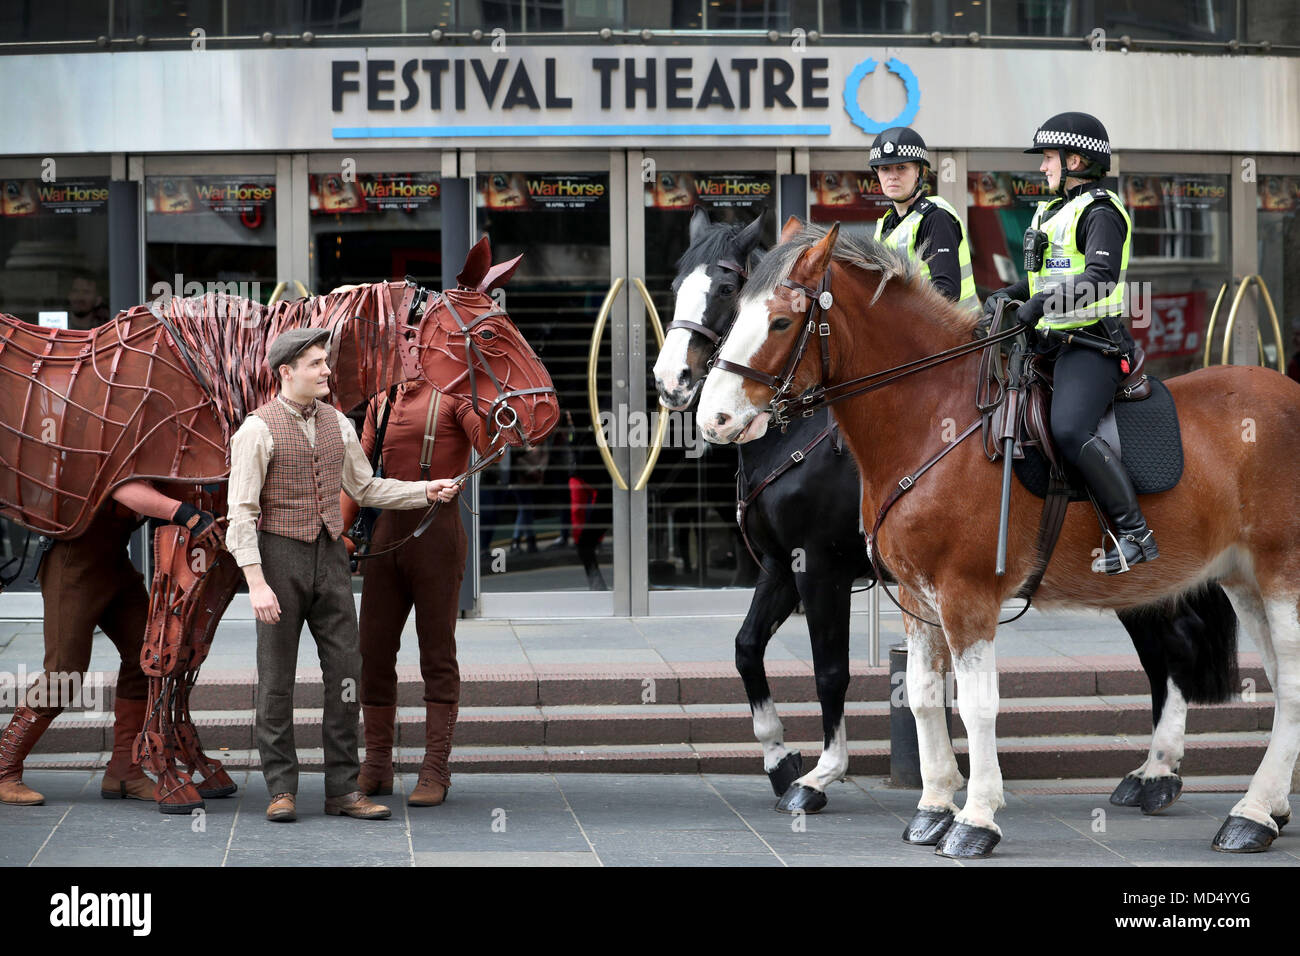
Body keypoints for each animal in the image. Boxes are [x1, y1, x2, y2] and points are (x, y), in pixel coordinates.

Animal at [702, 223, 1300, 858]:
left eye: (780, 322)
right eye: (735, 310)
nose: (713, 418)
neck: (931, 418)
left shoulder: (956, 592)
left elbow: (974, 702)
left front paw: (976, 817)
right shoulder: (914, 595)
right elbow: (921, 693)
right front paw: (934, 805)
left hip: (1280, 573)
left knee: (1282, 681)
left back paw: (1247, 812)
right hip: (1240, 579)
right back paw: (1254, 801)